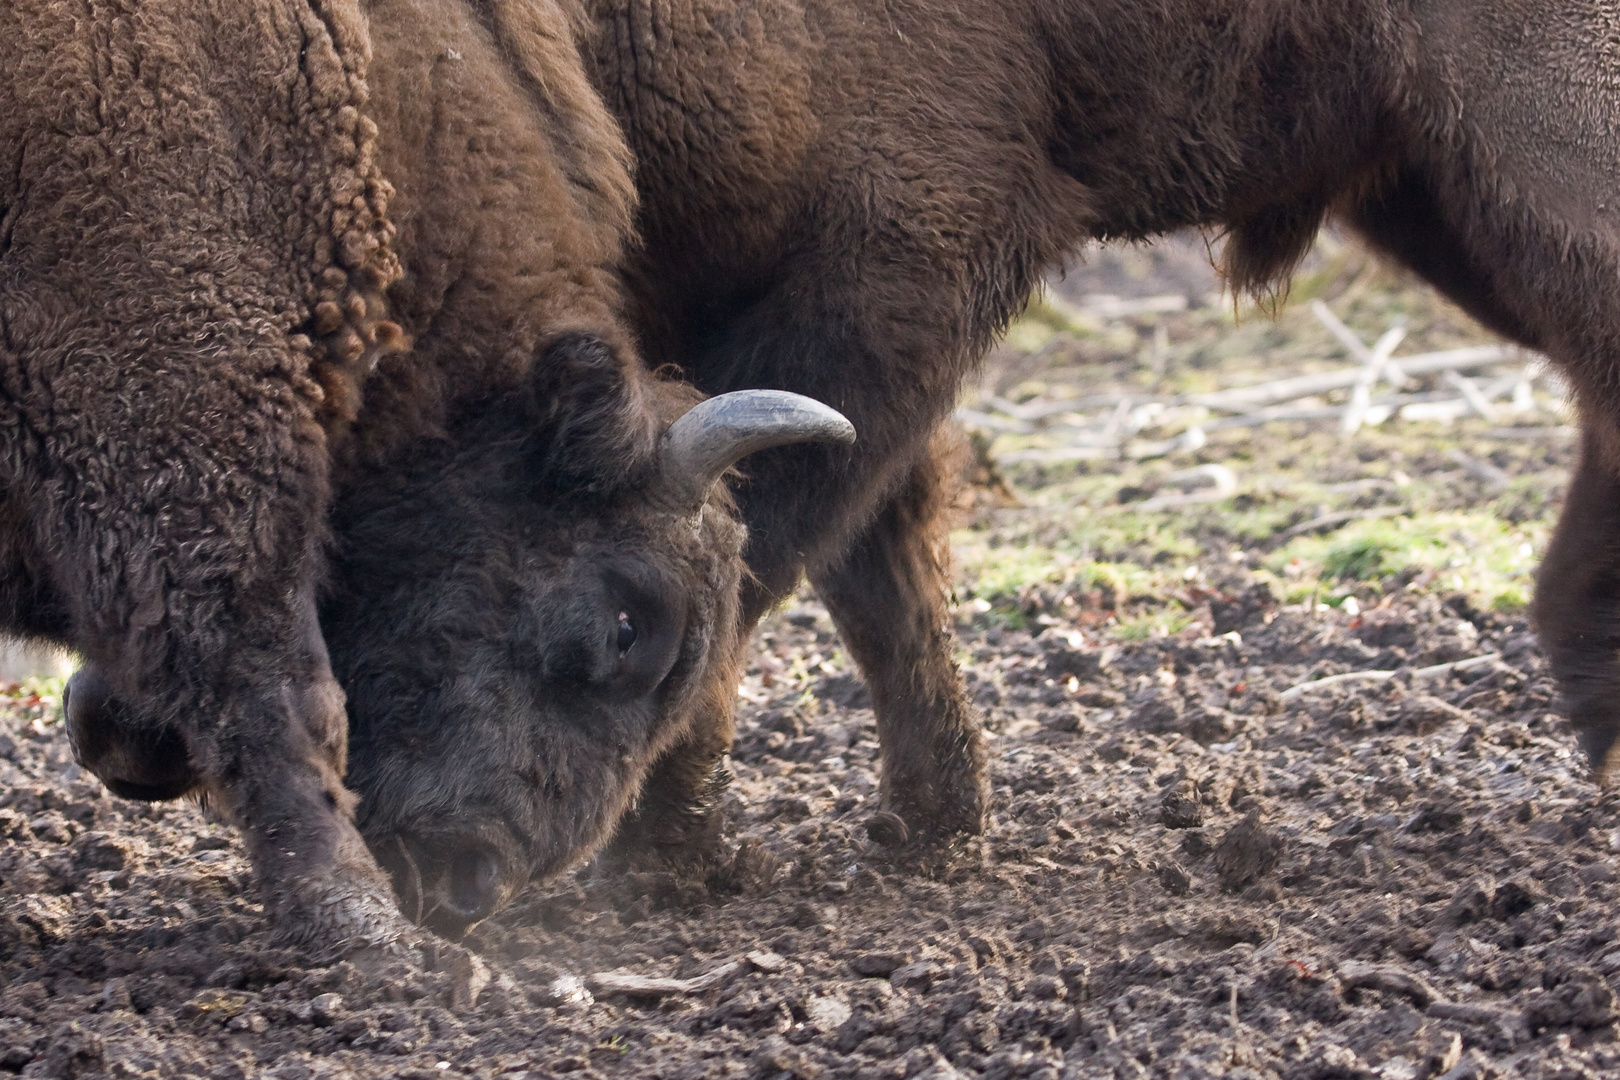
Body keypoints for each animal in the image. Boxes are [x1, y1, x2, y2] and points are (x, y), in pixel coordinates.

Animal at [312, 0, 1620, 932]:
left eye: (620, 629)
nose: (436, 864)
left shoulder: (901, 266)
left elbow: (775, 548)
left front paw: (667, 849)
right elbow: (873, 564)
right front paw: (934, 823)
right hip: (1437, 188)